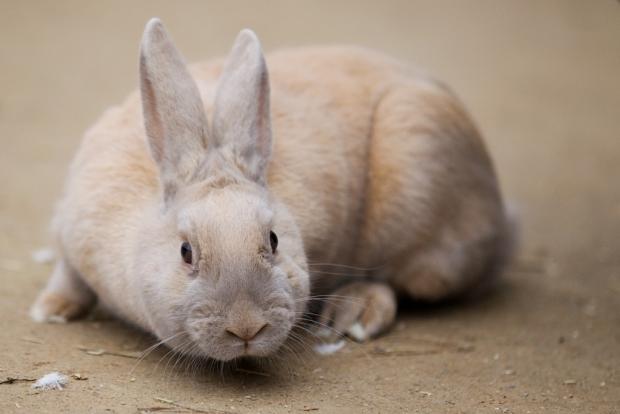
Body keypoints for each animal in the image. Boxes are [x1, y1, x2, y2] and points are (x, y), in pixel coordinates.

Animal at [30, 19, 512, 360]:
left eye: (274, 240)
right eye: (186, 252)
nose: (246, 328)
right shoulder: (70, 229)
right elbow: (68, 275)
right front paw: (49, 310)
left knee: (397, 278)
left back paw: (352, 314)